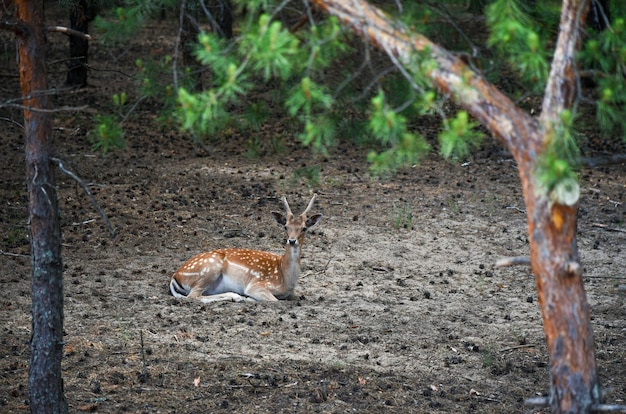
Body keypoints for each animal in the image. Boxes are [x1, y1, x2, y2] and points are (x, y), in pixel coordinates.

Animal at [168, 192, 322, 302]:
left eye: (304, 228)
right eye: (285, 227)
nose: (292, 240)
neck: (285, 279)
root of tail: (175, 276)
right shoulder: (257, 285)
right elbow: (274, 300)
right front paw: (248, 298)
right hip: (209, 268)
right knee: (193, 296)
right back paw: (236, 296)